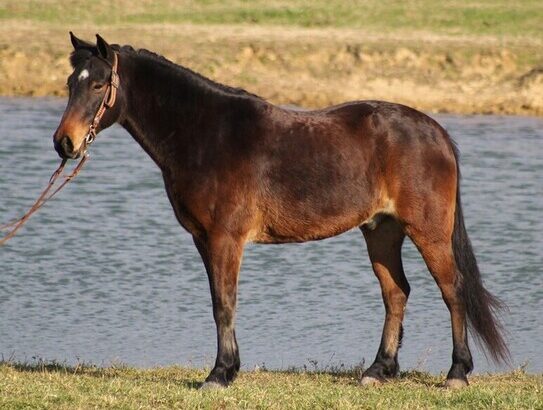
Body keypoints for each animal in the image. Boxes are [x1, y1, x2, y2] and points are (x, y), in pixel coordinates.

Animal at [52, 33, 510, 390]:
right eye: (71, 83)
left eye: (99, 85)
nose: (65, 143)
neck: (206, 134)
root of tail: (436, 133)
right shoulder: (203, 239)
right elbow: (218, 301)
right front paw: (228, 369)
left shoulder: (225, 239)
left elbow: (224, 302)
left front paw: (219, 374)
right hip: (382, 231)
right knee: (396, 293)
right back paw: (378, 370)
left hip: (427, 231)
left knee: (453, 291)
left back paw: (456, 373)